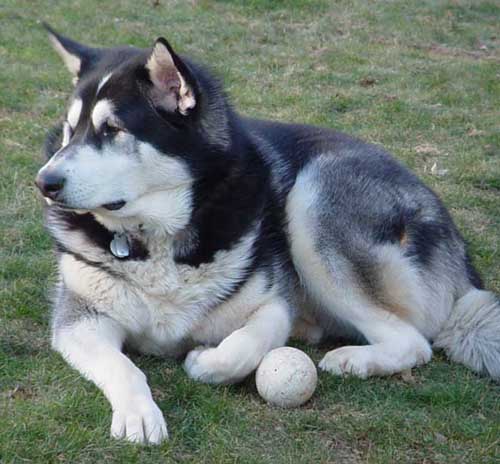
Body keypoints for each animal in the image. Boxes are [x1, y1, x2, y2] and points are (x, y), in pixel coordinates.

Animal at [36, 26, 500, 446]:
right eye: (70, 130)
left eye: (112, 129)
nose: (45, 182)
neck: (156, 237)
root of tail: (461, 261)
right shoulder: (78, 320)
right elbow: (124, 367)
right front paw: (138, 413)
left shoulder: (273, 304)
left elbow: (244, 346)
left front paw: (205, 361)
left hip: (313, 199)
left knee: (414, 342)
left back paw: (353, 359)